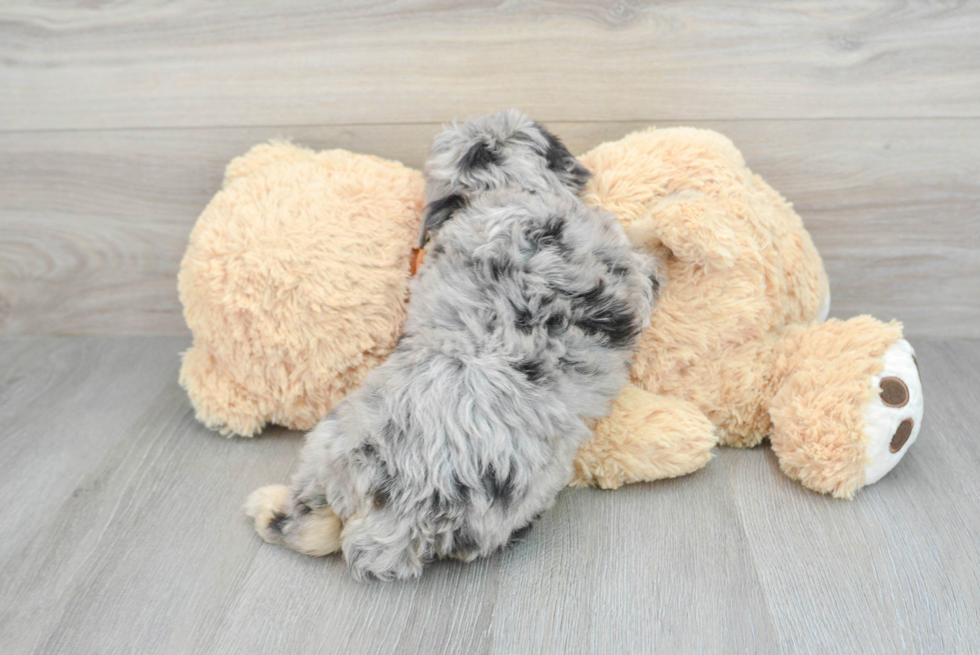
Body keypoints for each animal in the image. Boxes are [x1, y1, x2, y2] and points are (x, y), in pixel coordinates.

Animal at [245, 110, 660, 580]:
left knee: (312, 525)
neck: (499, 189)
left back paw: (269, 509)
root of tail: (403, 508)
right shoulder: (627, 268)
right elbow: (644, 257)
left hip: (329, 443)